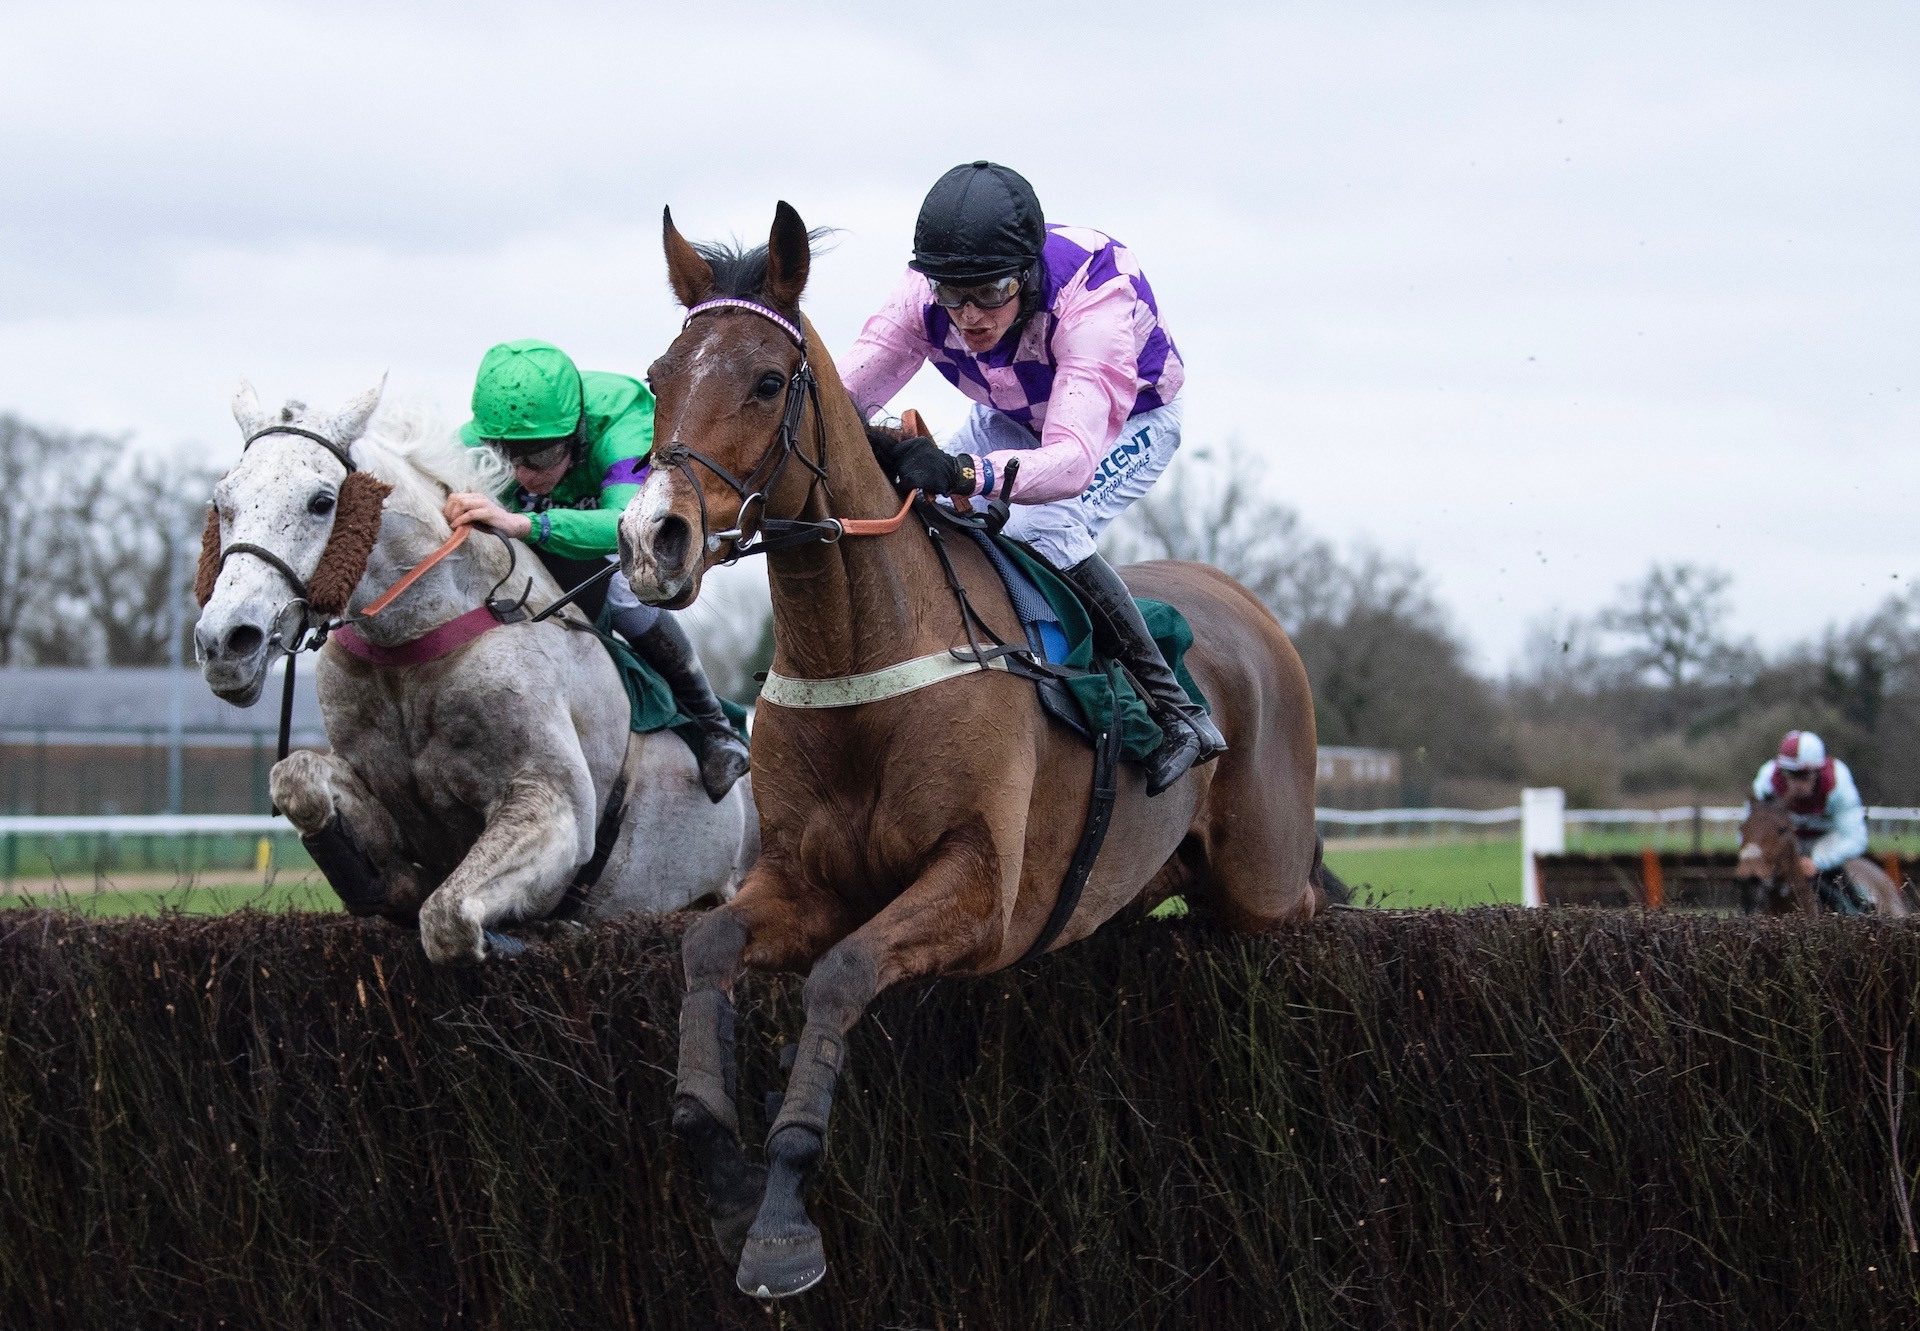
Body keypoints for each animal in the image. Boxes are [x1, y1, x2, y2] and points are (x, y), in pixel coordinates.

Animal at [189, 378, 756, 960]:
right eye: (222, 502)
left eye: (322, 502)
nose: (226, 640)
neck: (413, 644)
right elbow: (296, 779)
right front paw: (390, 885)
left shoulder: (556, 808)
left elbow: (448, 919)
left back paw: (723, 749)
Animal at [622, 202, 1344, 1290]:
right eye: (658, 374)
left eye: (765, 379)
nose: (650, 537)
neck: (862, 650)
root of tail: (1251, 605)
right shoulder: (800, 877)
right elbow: (705, 945)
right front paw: (727, 1179)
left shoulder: (977, 886)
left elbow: (841, 976)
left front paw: (784, 1217)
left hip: (1259, 877)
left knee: (1298, 898)